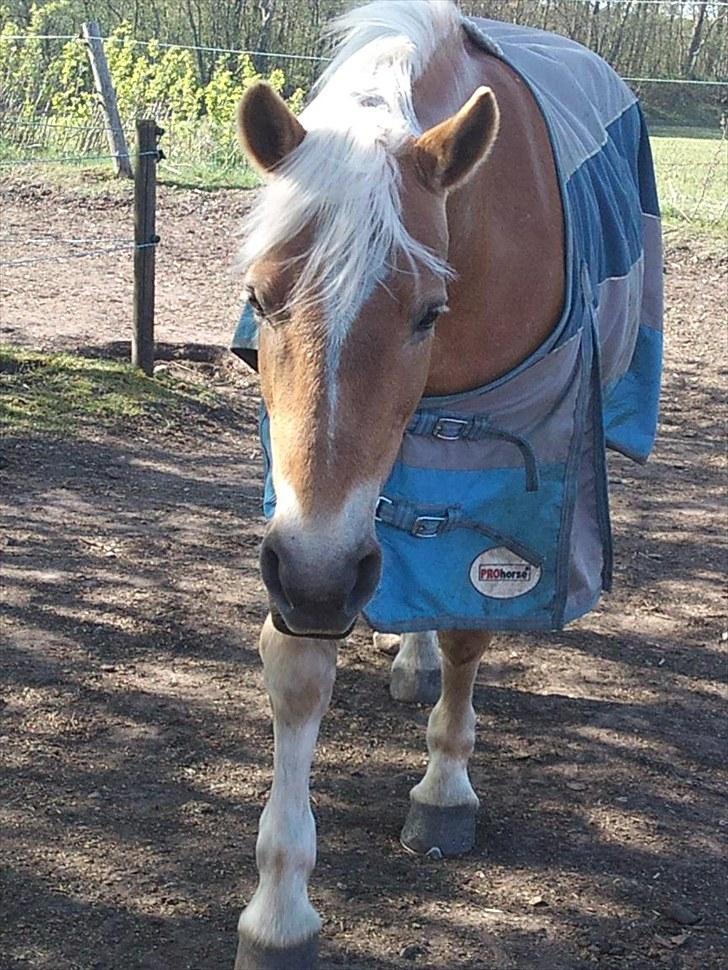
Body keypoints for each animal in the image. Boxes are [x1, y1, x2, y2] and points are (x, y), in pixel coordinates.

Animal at [230, 3, 664, 964]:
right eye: (263, 297)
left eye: (430, 310)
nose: (320, 580)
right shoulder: (308, 530)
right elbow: (300, 667)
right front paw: (280, 905)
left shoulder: (492, 485)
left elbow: (471, 622)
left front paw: (444, 790)